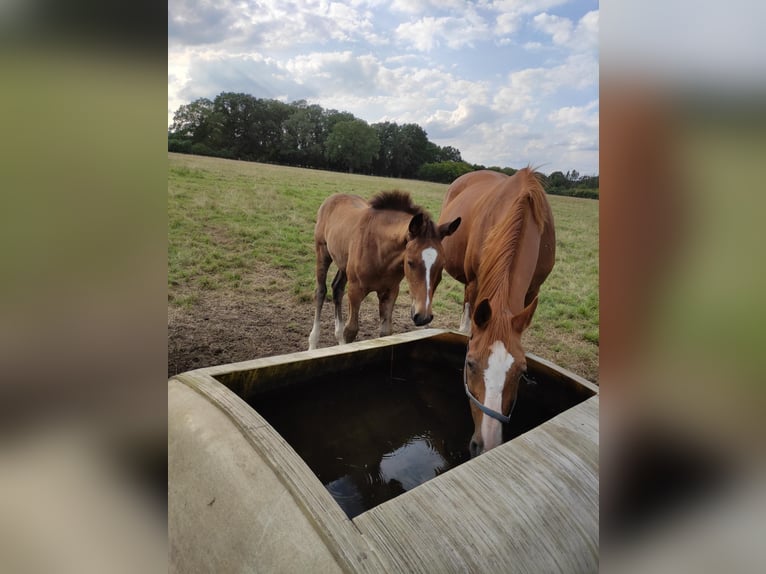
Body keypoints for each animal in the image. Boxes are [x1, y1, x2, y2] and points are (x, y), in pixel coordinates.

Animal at [308, 192, 462, 352]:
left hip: (343, 262)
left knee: (337, 288)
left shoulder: (390, 291)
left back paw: (338, 339)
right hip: (322, 252)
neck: (379, 252)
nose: (423, 317)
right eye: (410, 262)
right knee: (321, 291)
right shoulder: (355, 290)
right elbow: (351, 330)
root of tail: (334, 197)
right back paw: (313, 344)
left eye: (442, 265)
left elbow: (386, 333)